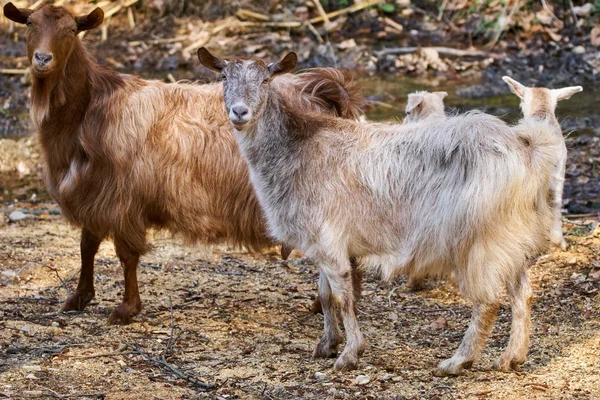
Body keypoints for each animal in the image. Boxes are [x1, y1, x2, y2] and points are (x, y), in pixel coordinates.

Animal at [3, 2, 366, 322]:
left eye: (71, 30)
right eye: (30, 24)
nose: (42, 59)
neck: (93, 106)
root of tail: (321, 88)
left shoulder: (122, 198)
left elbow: (126, 255)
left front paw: (126, 310)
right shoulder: (93, 193)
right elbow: (87, 246)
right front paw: (78, 298)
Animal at [198, 49, 564, 376]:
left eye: (265, 79)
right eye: (224, 77)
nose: (240, 112)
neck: (299, 147)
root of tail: (526, 148)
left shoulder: (330, 240)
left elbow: (344, 298)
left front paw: (349, 354)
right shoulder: (322, 242)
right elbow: (325, 295)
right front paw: (326, 344)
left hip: (479, 239)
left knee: (488, 301)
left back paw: (457, 362)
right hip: (511, 236)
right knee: (523, 293)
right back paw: (512, 357)